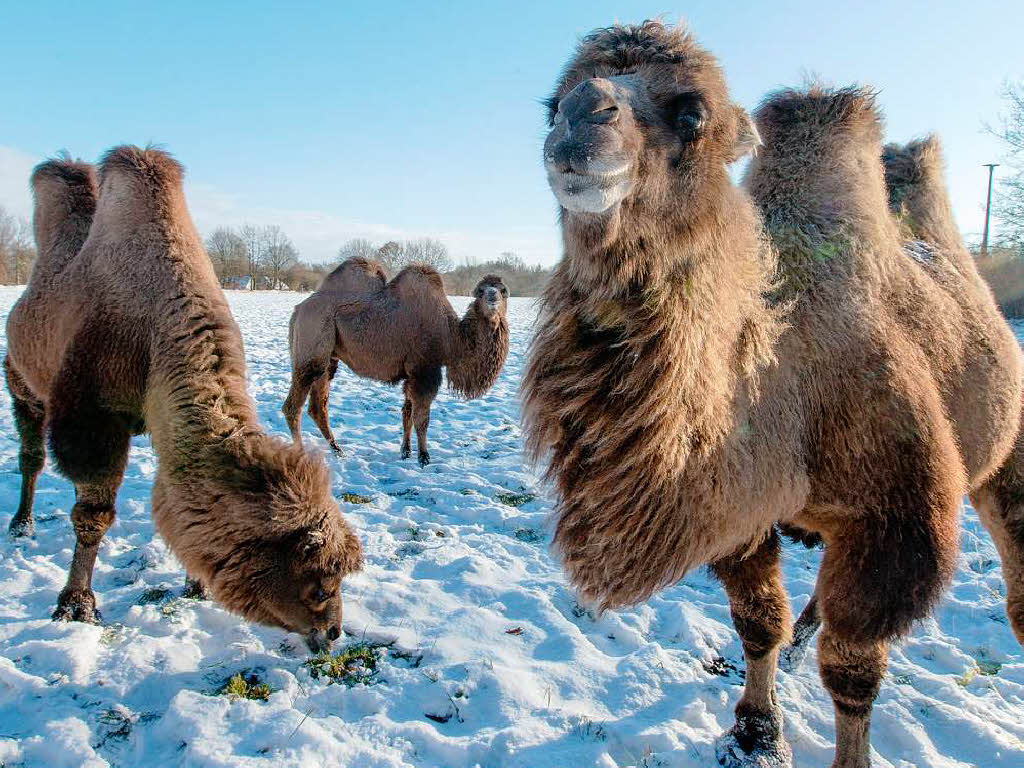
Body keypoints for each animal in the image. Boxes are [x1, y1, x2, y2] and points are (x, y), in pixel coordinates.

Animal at [2, 147, 362, 651]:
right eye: (316, 583)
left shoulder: (164, 421)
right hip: (22, 383)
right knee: (31, 455)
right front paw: (76, 606)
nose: (332, 633)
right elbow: (92, 514)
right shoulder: (94, 417)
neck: (154, 330)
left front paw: (194, 584)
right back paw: (21, 523)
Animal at [282, 264, 509, 466]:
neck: (451, 337)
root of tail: (297, 310)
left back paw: (338, 450)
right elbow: (421, 418)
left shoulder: (411, 374)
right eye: (480, 291)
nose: (492, 298)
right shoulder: (425, 370)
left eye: (503, 290)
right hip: (310, 351)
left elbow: (407, 413)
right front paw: (424, 457)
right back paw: (301, 452)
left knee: (318, 406)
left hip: (329, 360)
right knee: (292, 406)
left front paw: (405, 451)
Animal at [524, 19, 1024, 768]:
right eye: (551, 105)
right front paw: (757, 731)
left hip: (1007, 455)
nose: (583, 116)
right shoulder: (738, 507)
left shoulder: (897, 520)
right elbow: (756, 621)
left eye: (691, 112)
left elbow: (852, 666)